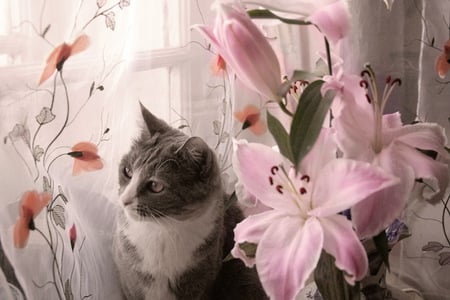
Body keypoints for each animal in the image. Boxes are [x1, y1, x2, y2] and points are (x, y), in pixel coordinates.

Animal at [112, 103, 268, 300]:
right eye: (127, 171)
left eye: (155, 186)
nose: (124, 200)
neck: (162, 230)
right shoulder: (130, 281)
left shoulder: (201, 279)